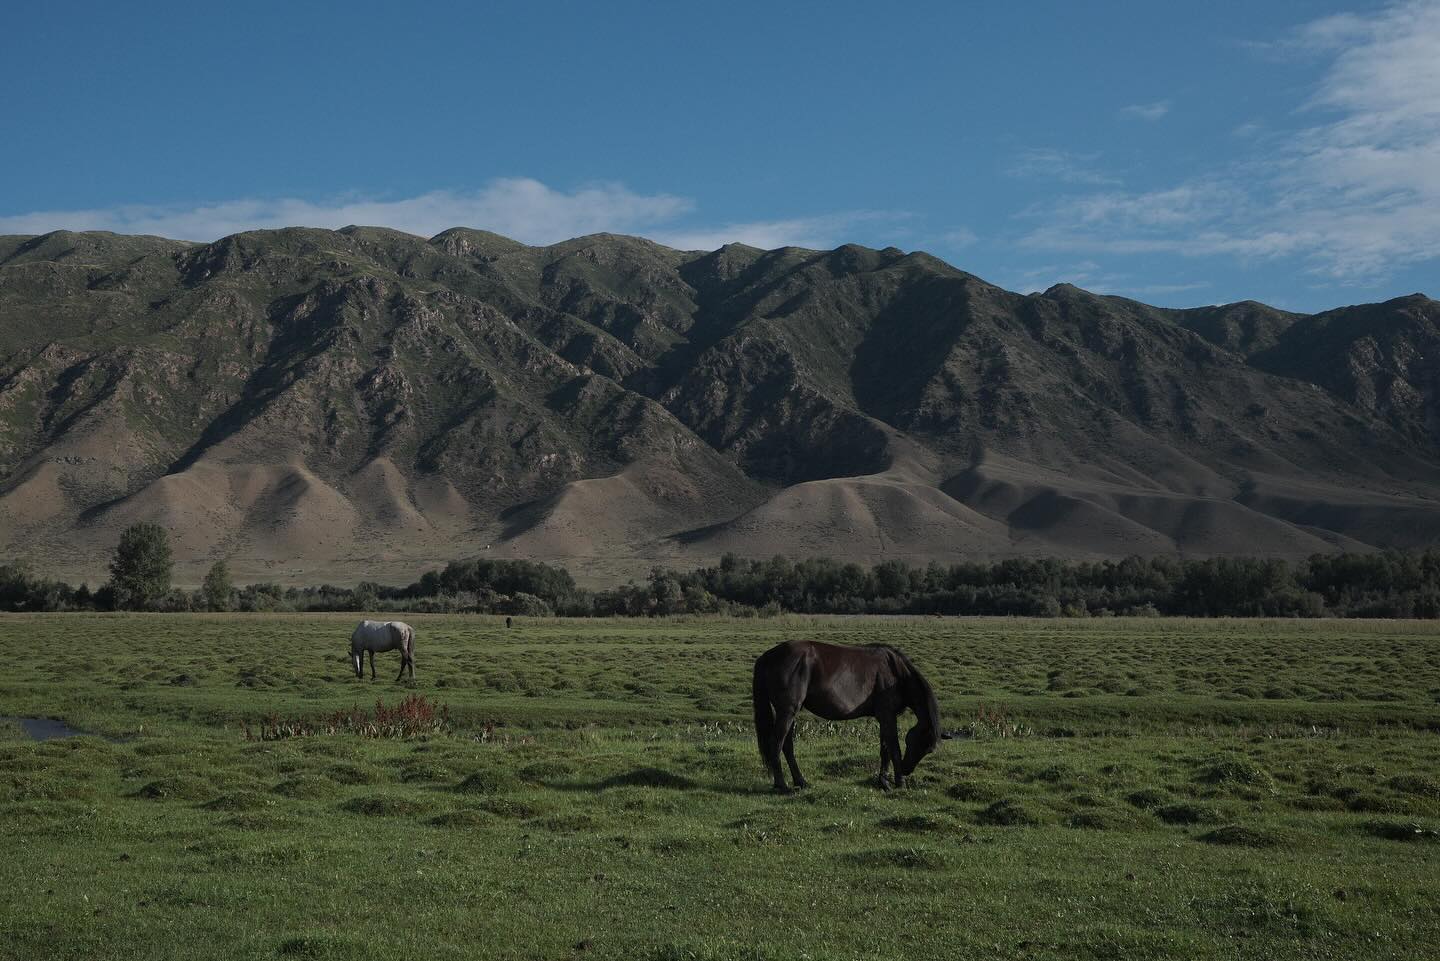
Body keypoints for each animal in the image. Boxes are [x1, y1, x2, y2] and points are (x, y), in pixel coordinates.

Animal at [754, 642, 944, 795]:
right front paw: (900, 783)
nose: (906, 770)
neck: (895, 672)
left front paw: (884, 782)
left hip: (790, 714)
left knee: (787, 746)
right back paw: (782, 785)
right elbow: (894, 748)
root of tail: (768, 656)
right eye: (919, 743)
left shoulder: (884, 718)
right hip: (787, 712)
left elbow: (885, 749)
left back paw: (801, 781)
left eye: (928, 750)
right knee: (776, 744)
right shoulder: (888, 716)